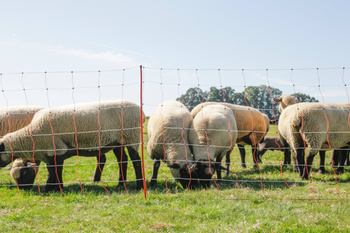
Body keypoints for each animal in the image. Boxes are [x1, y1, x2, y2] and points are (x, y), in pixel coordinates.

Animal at [0, 100, 144, 191]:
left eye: (23, 174)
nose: (24, 191)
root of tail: (140, 110)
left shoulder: (55, 148)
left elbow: (52, 171)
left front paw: (49, 188)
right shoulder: (57, 152)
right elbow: (57, 170)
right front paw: (58, 187)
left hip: (132, 135)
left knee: (136, 161)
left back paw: (139, 186)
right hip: (118, 141)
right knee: (122, 160)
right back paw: (120, 184)